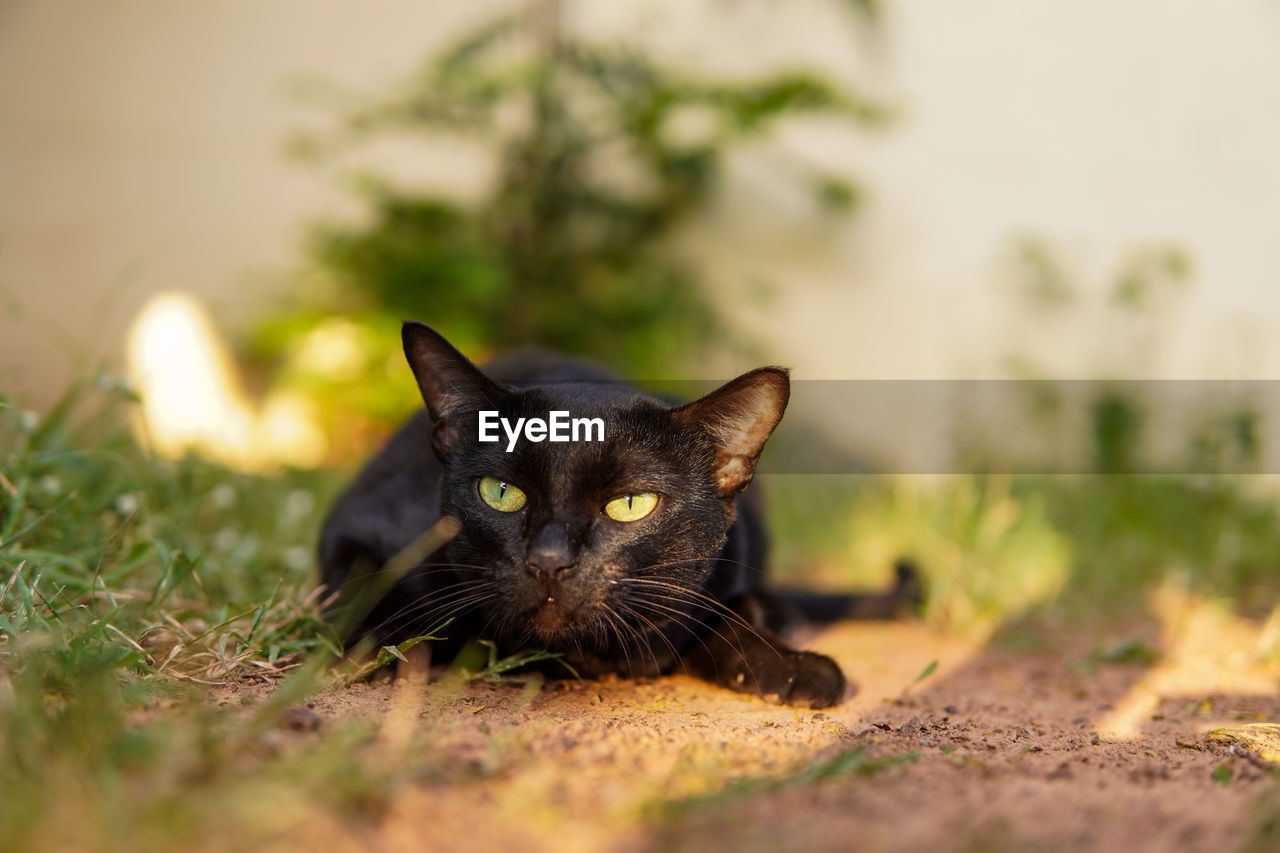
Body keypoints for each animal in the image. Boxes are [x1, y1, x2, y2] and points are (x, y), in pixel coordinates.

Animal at [320, 318, 921, 701]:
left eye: (630, 504)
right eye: (500, 492)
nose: (549, 560)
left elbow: (732, 614)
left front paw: (787, 664)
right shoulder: (354, 528)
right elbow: (368, 595)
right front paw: (382, 647)